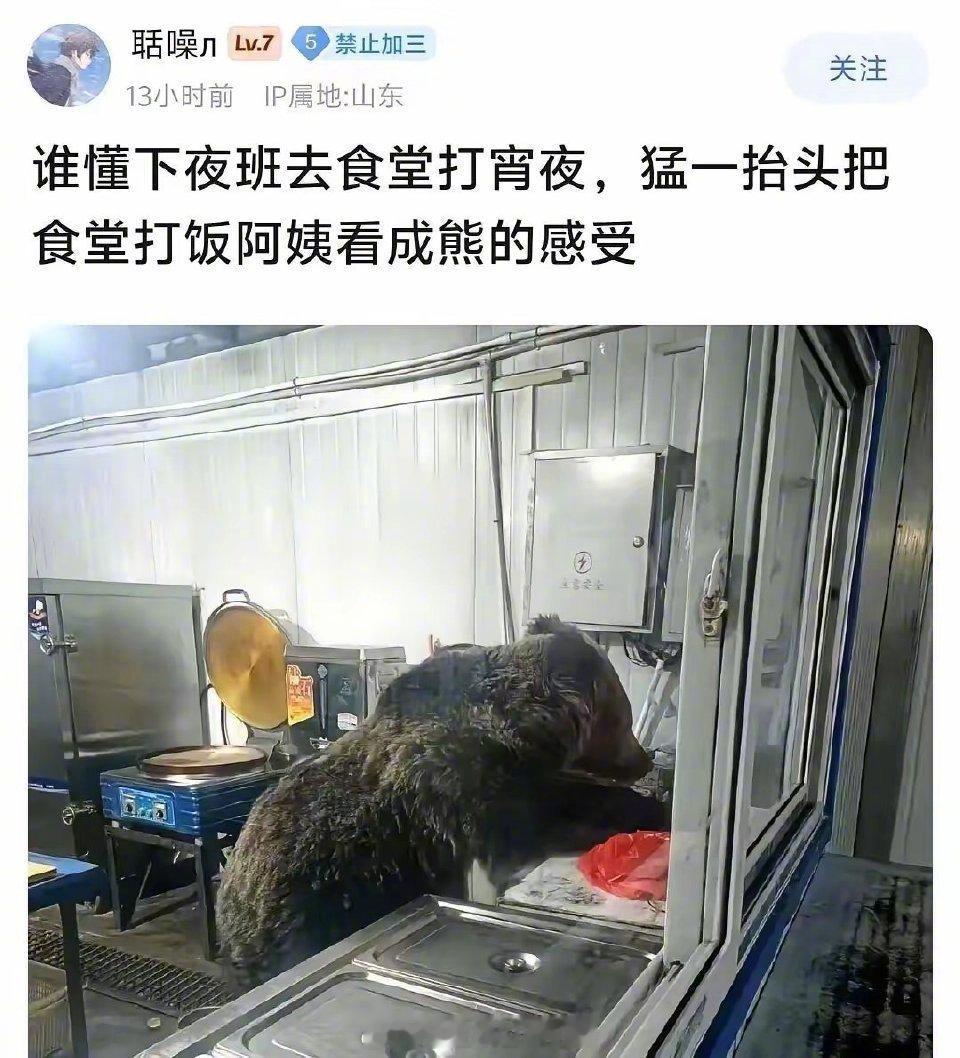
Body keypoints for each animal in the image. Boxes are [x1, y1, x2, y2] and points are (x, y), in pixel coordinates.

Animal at [216, 616, 665, 988]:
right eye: (624, 718)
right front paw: (648, 806)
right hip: (316, 903)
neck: (517, 723)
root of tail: (231, 907)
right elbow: (533, 823)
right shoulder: (464, 782)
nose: (645, 759)